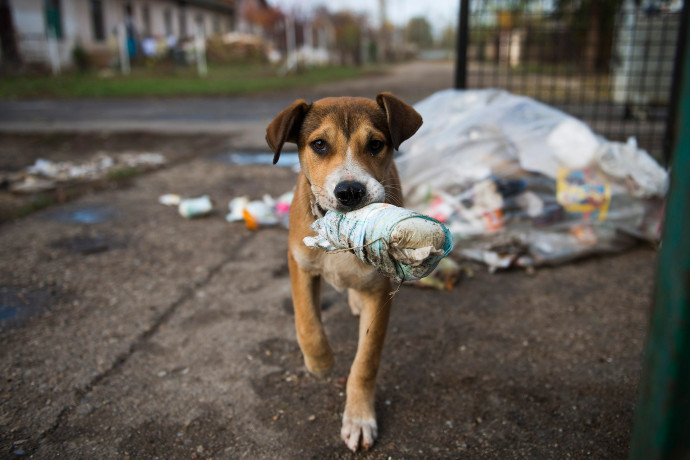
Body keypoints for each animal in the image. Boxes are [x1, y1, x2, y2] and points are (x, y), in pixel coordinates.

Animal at [266, 91, 422, 452]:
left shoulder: (380, 291)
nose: (350, 191)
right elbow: (307, 323)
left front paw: (359, 419)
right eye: (319, 144)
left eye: (376, 144)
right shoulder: (300, 264)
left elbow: (366, 361)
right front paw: (320, 363)